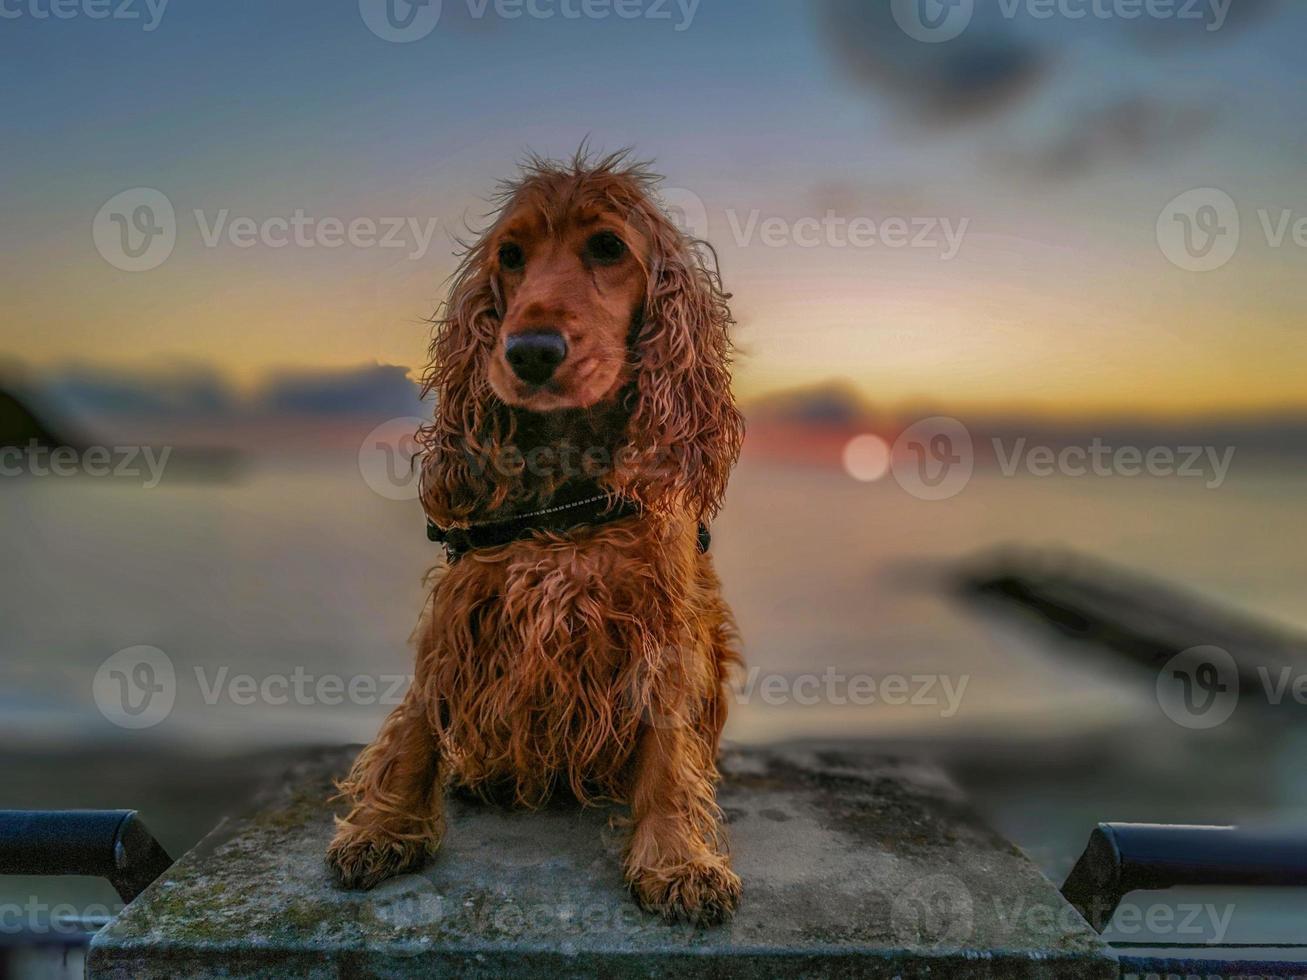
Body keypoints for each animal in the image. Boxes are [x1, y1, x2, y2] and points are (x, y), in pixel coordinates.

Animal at [326, 149, 747, 925]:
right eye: (511, 256)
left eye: (608, 246)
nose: (528, 351)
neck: (566, 490)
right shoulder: (466, 603)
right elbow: (416, 721)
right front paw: (384, 826)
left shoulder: (662, 629)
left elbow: (668, 751)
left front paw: (678, 859)